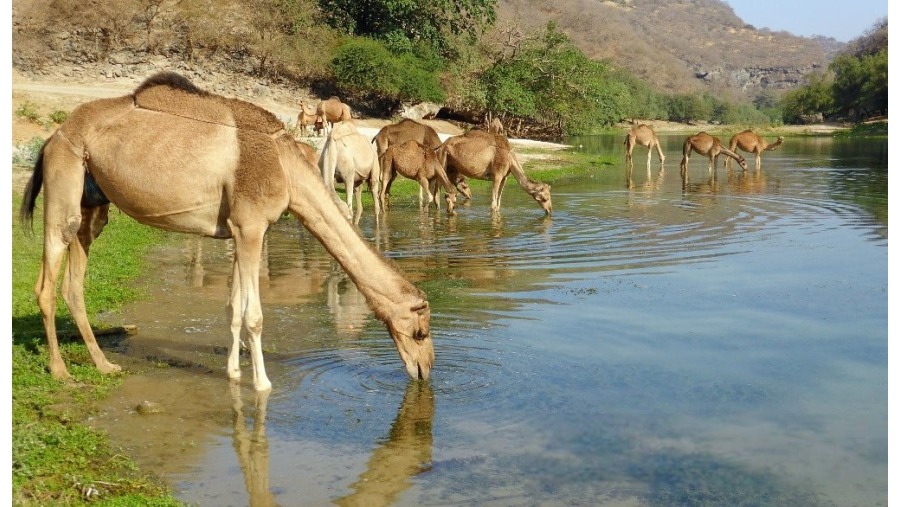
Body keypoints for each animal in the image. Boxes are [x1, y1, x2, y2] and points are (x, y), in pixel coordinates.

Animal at [17, 71, 432, 390]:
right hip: (65, 174)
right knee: (47, 280)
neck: (287, 170)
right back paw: (61, 371)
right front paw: (261, 384)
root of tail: (52, 136)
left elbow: (233, 307)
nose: (425, 369)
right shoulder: (252, 226)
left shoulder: (236, 227)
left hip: (93, 202)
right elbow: (255, 315)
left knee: (75, 279)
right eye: (420, 331)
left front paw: (233, 373)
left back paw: (104, 364)